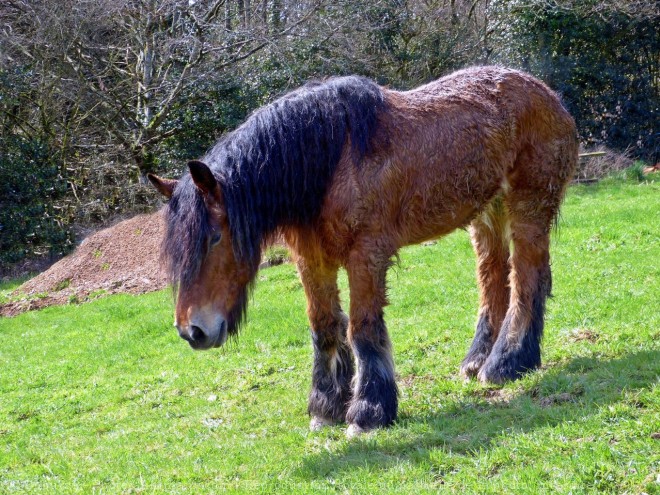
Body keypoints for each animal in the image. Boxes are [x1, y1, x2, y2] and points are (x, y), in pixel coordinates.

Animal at [148, 67, 576, 438]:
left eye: (214, 238)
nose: (192, 331)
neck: (330, 161)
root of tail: (549, 95)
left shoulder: (366, 256)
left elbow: (363, 329)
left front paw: (369, 410)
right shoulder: (312, 260)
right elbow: (324, 326)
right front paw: (326, 406)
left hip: (527, 208)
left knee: (526, 280)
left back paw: (508, 363)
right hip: (487, 216)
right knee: (493, 281)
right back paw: (477, 361)